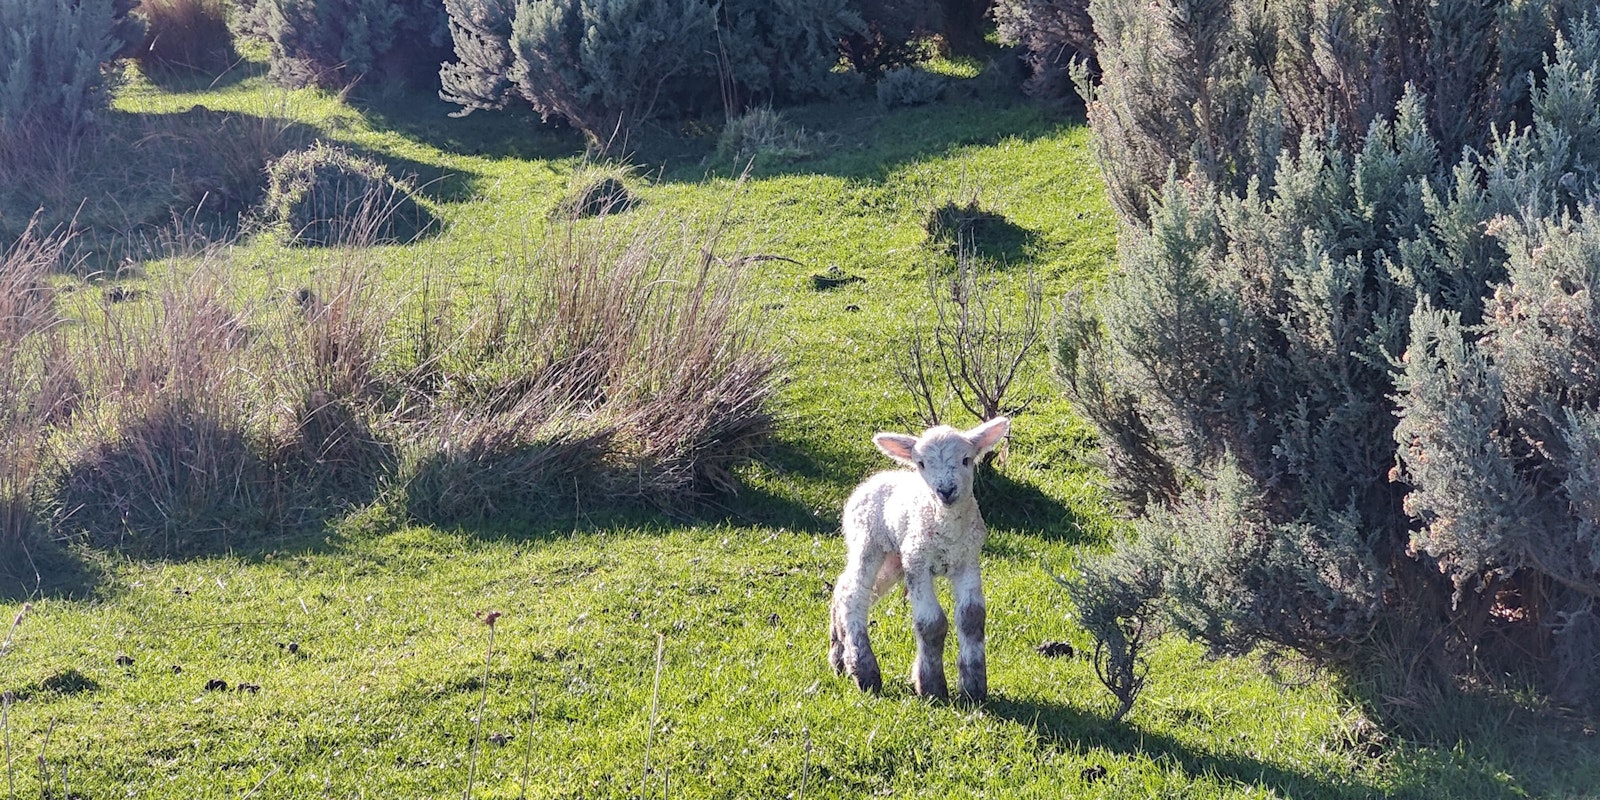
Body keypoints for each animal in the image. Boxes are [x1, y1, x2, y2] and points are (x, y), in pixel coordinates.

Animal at [828, 416, 1010, 701]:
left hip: (894, 559)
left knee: (847, 589)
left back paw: (839, 655)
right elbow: (931, 623)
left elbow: (972, 618)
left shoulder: (967, 559)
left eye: (966, 460)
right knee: (853, 594)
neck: (946, 531)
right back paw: (865, 672)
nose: (946, 490)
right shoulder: (917, 561)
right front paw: (931, 688)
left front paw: (973, 689)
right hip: (868, 542)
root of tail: (871, 481)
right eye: (922, 463)